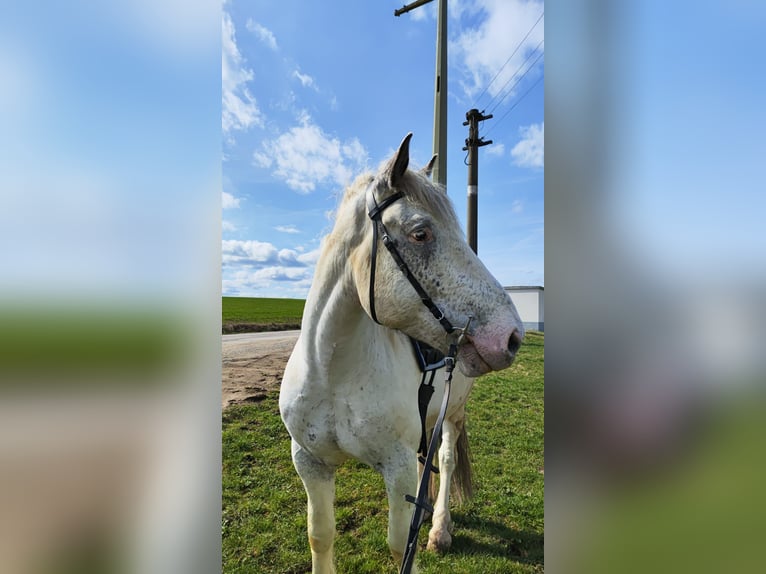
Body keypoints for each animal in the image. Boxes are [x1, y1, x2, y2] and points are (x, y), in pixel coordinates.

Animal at [282, 133, 528, 572]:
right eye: (420, 233)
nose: (512, 336)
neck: (332, 373)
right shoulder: (310, 463)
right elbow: (320, 536)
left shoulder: (394, 472)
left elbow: (400, 546)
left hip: (454, 412)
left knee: (444, 460)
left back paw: (439, 528)